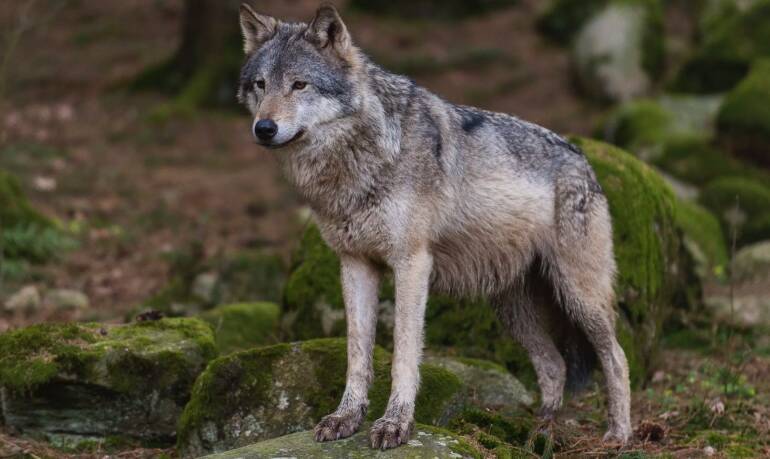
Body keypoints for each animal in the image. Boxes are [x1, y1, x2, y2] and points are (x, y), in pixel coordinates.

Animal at [236, 3, 632, 449]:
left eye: (299, 85)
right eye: (261, 84)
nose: (264, 128)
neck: (363, 157)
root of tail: (584, 160)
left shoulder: (412, 264)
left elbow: (404, 354)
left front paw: (395, 424)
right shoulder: (355, 264)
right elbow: (357, 353)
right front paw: (345, 418)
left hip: (579, 296)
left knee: (617, 357)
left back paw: (618, 434)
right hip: (513, 309)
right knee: (554, 365)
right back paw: (538, 433)